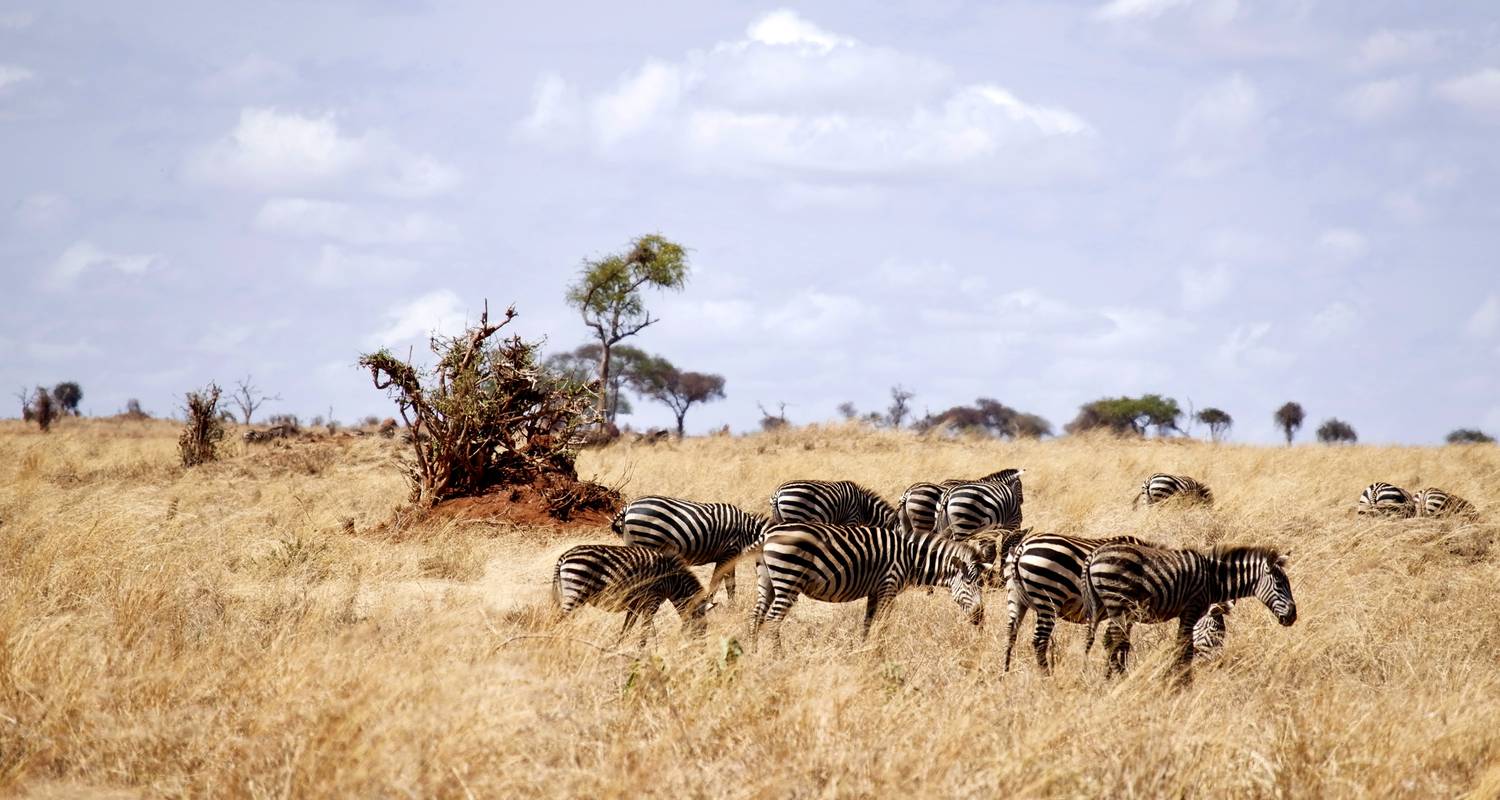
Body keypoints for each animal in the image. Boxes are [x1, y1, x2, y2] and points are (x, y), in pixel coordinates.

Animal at [555, 540, 711, 645]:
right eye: (703, 627)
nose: (701, 648)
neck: (672, 579)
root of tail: (564, 556)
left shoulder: (635, 604)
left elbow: (626, 629)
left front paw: (617, 649)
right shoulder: (653, 601)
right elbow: (644, 629)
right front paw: (641, 654)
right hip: (575, 592)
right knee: (560, 623)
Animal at [612, 495, 774, 603]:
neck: (750, 532)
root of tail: (628, 507)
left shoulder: (730, 557)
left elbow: (730, 585)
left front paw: (731, 607)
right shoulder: (729, 553)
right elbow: (718, 583)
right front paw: (713, 604)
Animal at [750, 525, 996, 648]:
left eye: (981, 584)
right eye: (968, 582)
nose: (980, 618)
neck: (911, 558)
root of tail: (767, 533)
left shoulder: (875, 591)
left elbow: (868, 625)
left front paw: (864, 652)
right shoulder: (889, 586)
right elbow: (882, 625)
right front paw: (879, 654)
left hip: (767, 580)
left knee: (756, 617)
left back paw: (753, 656)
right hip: (789, 578)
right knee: (772, 621)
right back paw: (778, 658)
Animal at [1086, 543, 1296, 681]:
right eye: (1279, 584)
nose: (1293, 616)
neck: (1214, 580)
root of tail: (1094, 554)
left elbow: (1183, 645)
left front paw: (1178, 677)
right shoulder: (1192, 608)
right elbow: (1185, 647)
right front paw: (1182, 681)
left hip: (1111, 606)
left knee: (1109, 640)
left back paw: (1110, 679)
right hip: (1118, 603)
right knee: (1114, 640)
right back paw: (1121, 677)